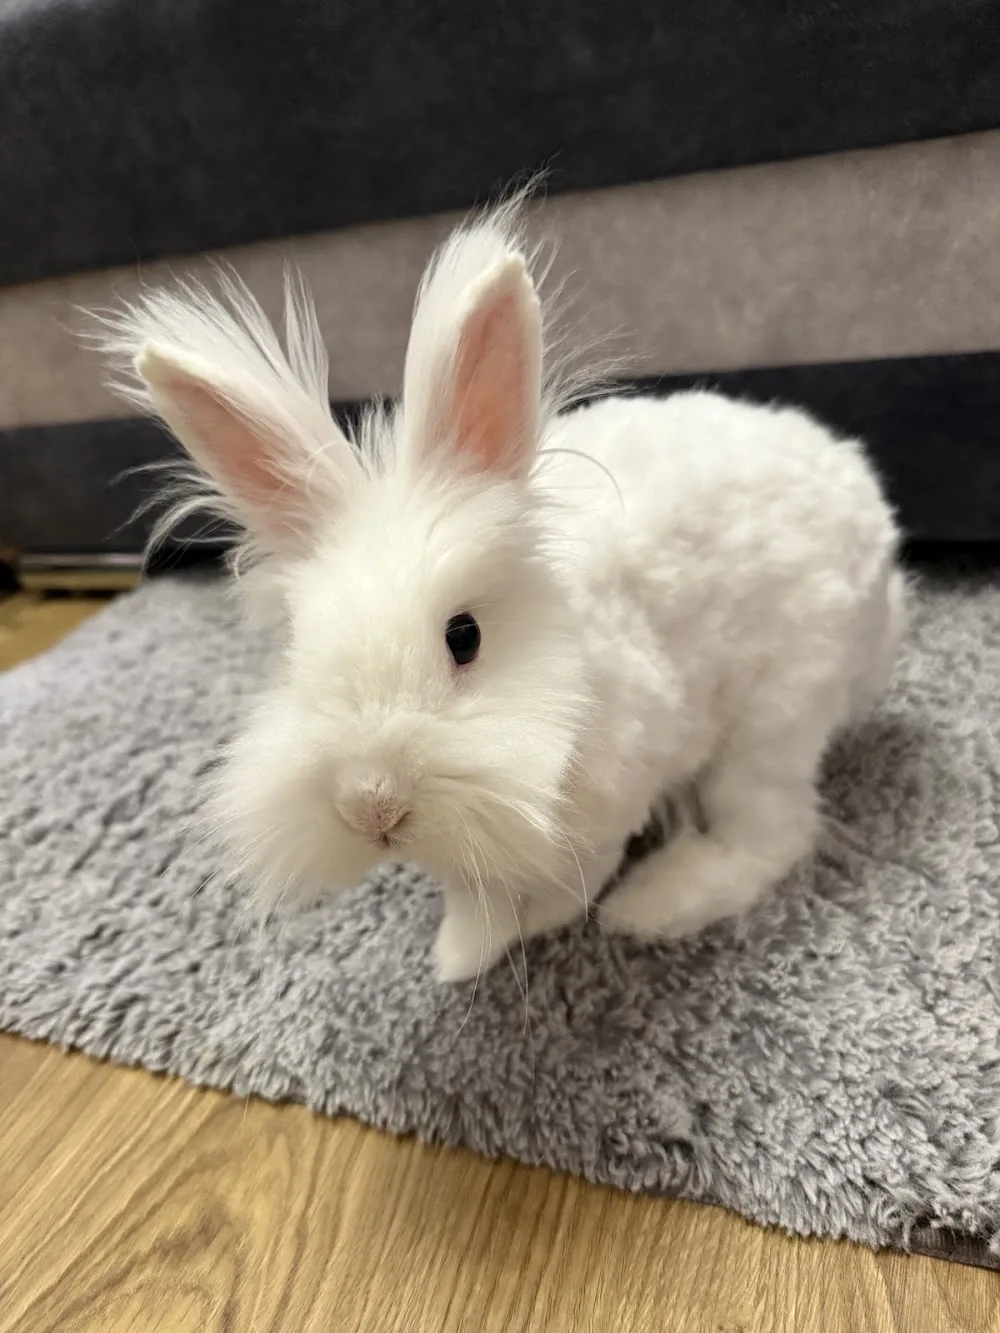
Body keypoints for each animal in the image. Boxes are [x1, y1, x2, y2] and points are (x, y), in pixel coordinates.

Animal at [99, 199, 903, 983]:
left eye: (465, 637)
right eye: (297, 652)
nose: (370, 803)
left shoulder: (609, 799)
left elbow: (572, 883)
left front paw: (498, 943)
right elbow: (474, 890)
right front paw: (460, 949)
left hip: (775, 713)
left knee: (770, 833)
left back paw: (652, 907)